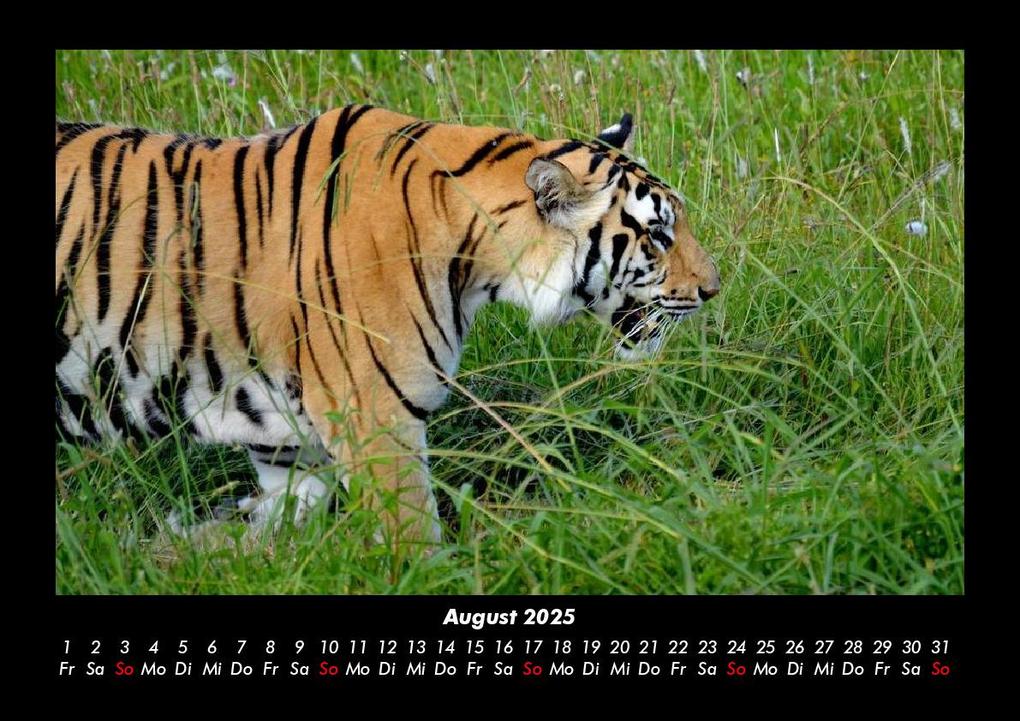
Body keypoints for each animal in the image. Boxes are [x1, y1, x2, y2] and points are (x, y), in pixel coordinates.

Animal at [55, 105, 720, 552]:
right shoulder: (378, 423)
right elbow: (415, 543)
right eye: (658, 235)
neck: (476, 259)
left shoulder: (286, 441)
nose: (715, 289)